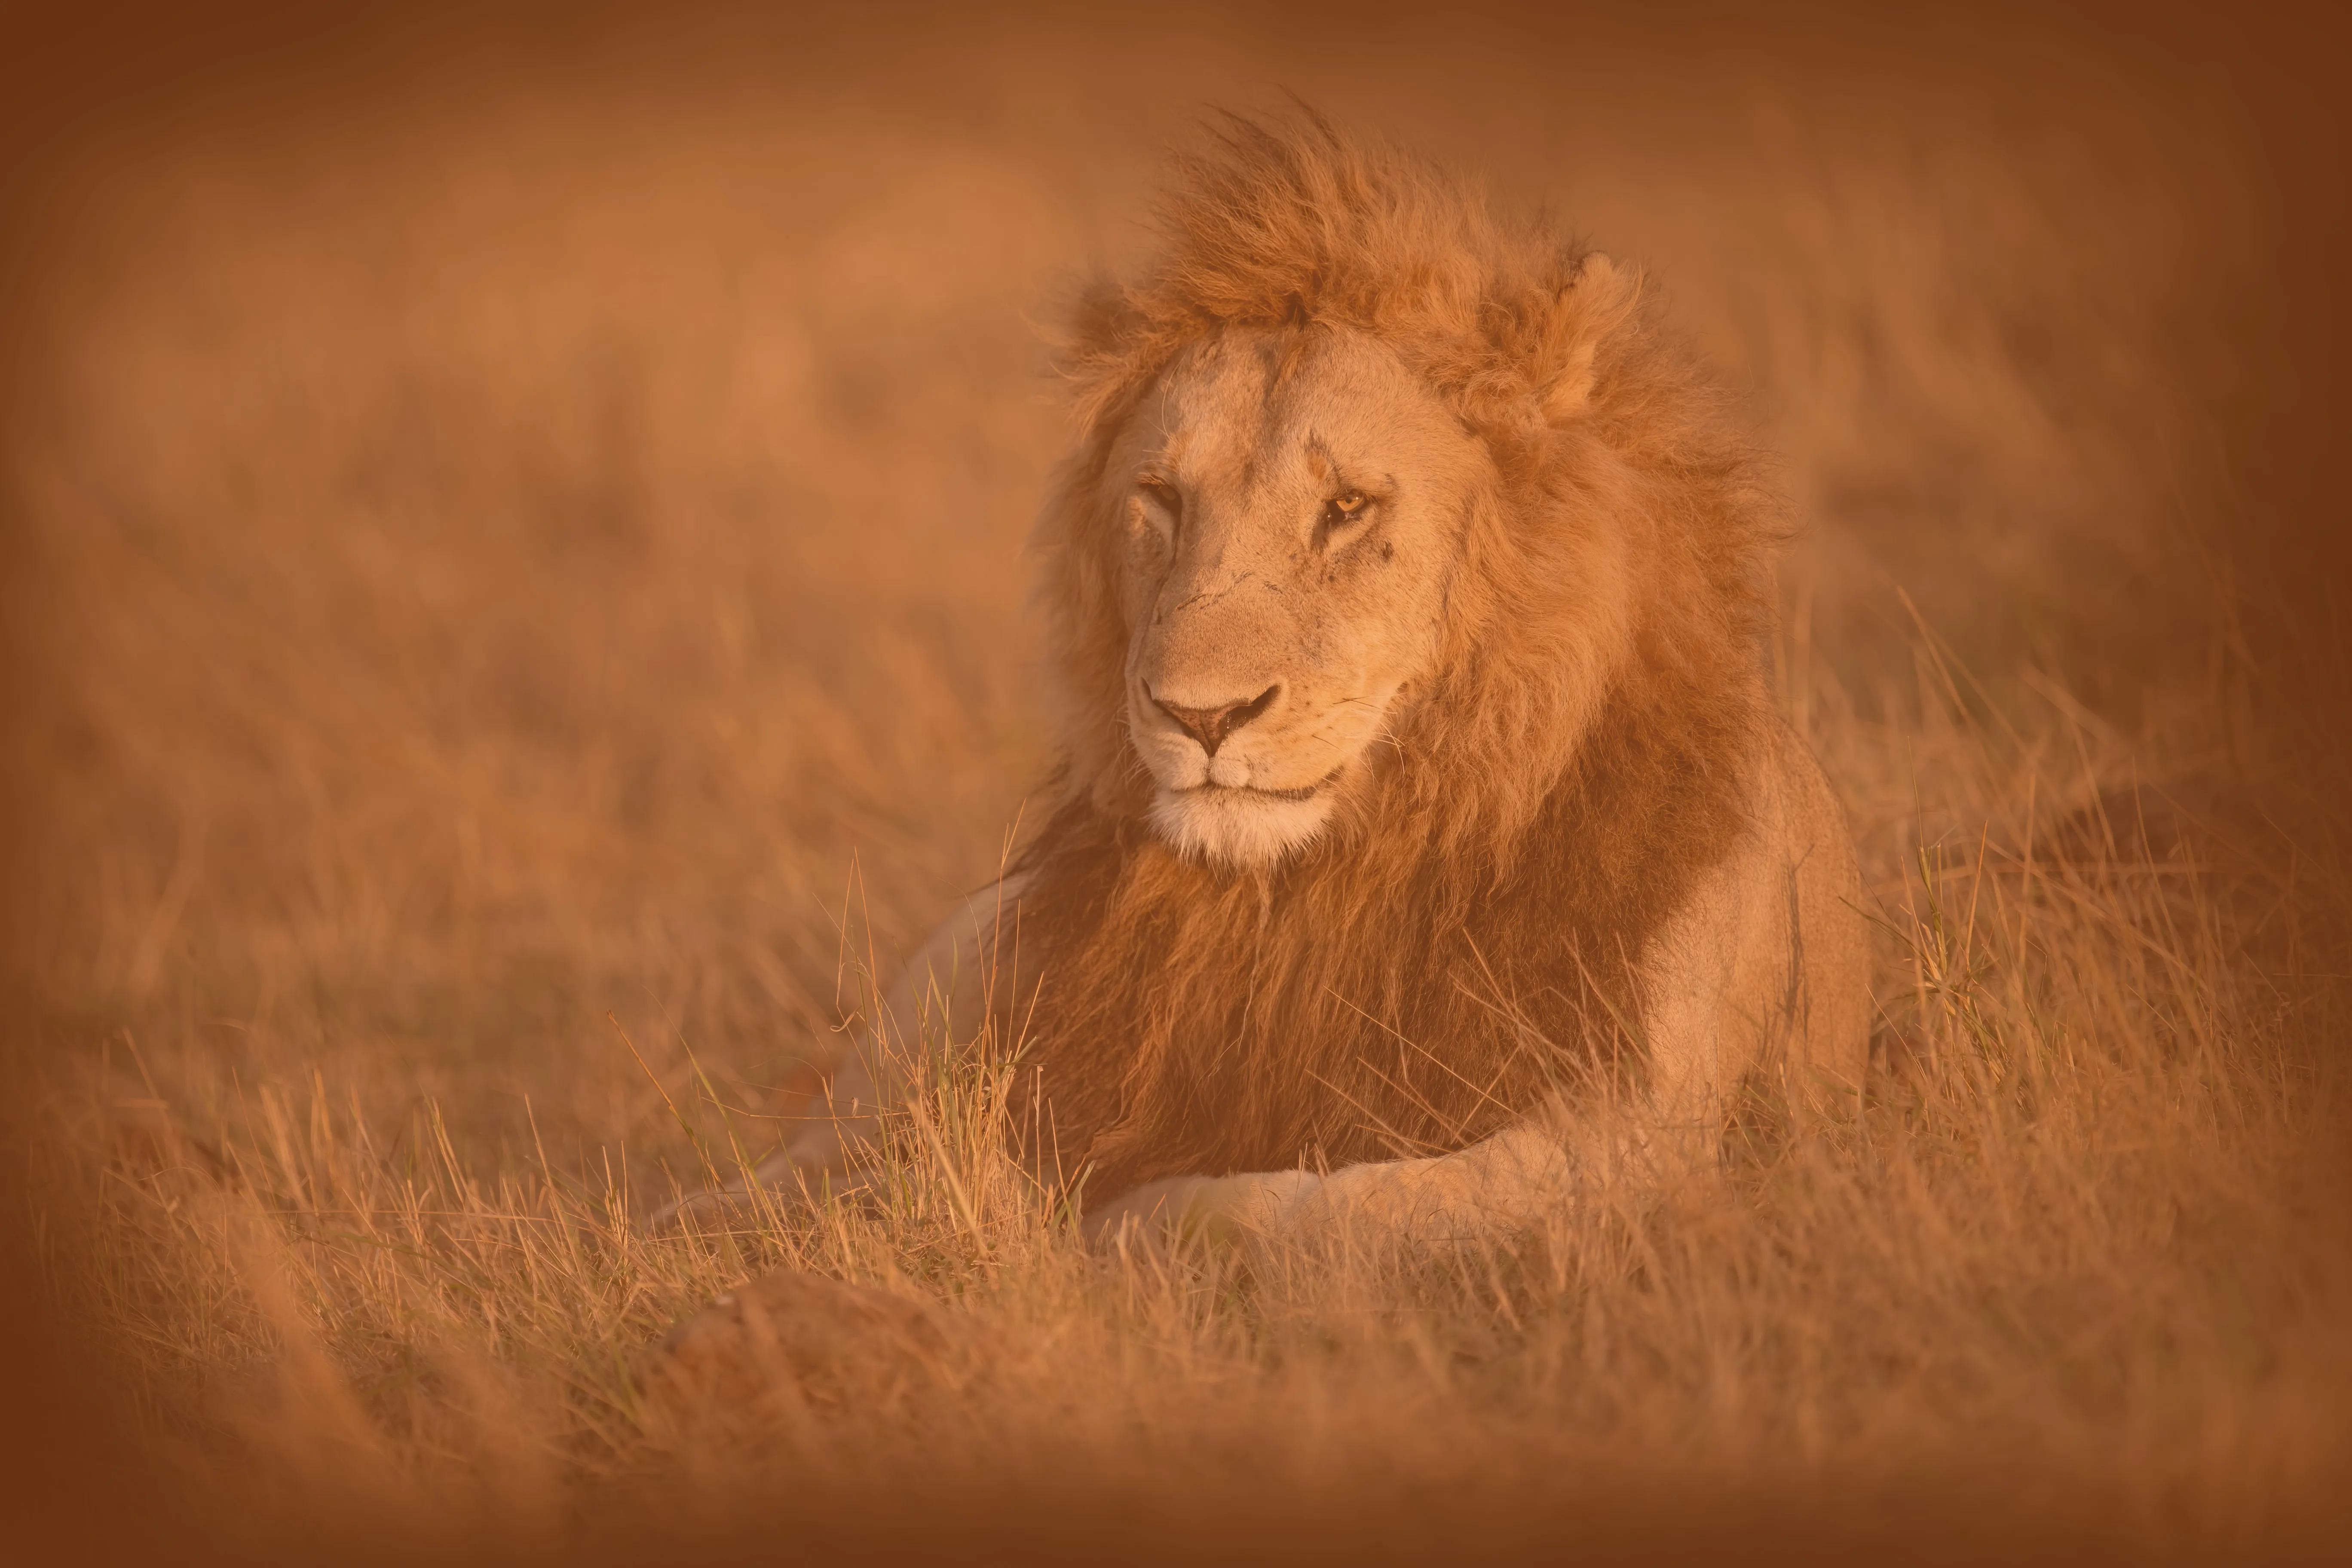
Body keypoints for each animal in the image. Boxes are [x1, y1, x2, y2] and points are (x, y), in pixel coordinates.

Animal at [656, 115, 1871, 1251]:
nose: (1201, 716)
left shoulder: (1642, 1133)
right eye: (1159, 499)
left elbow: (1297, 1205)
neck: (1324, 888)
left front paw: (1094, 1219)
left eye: (1347, 508)